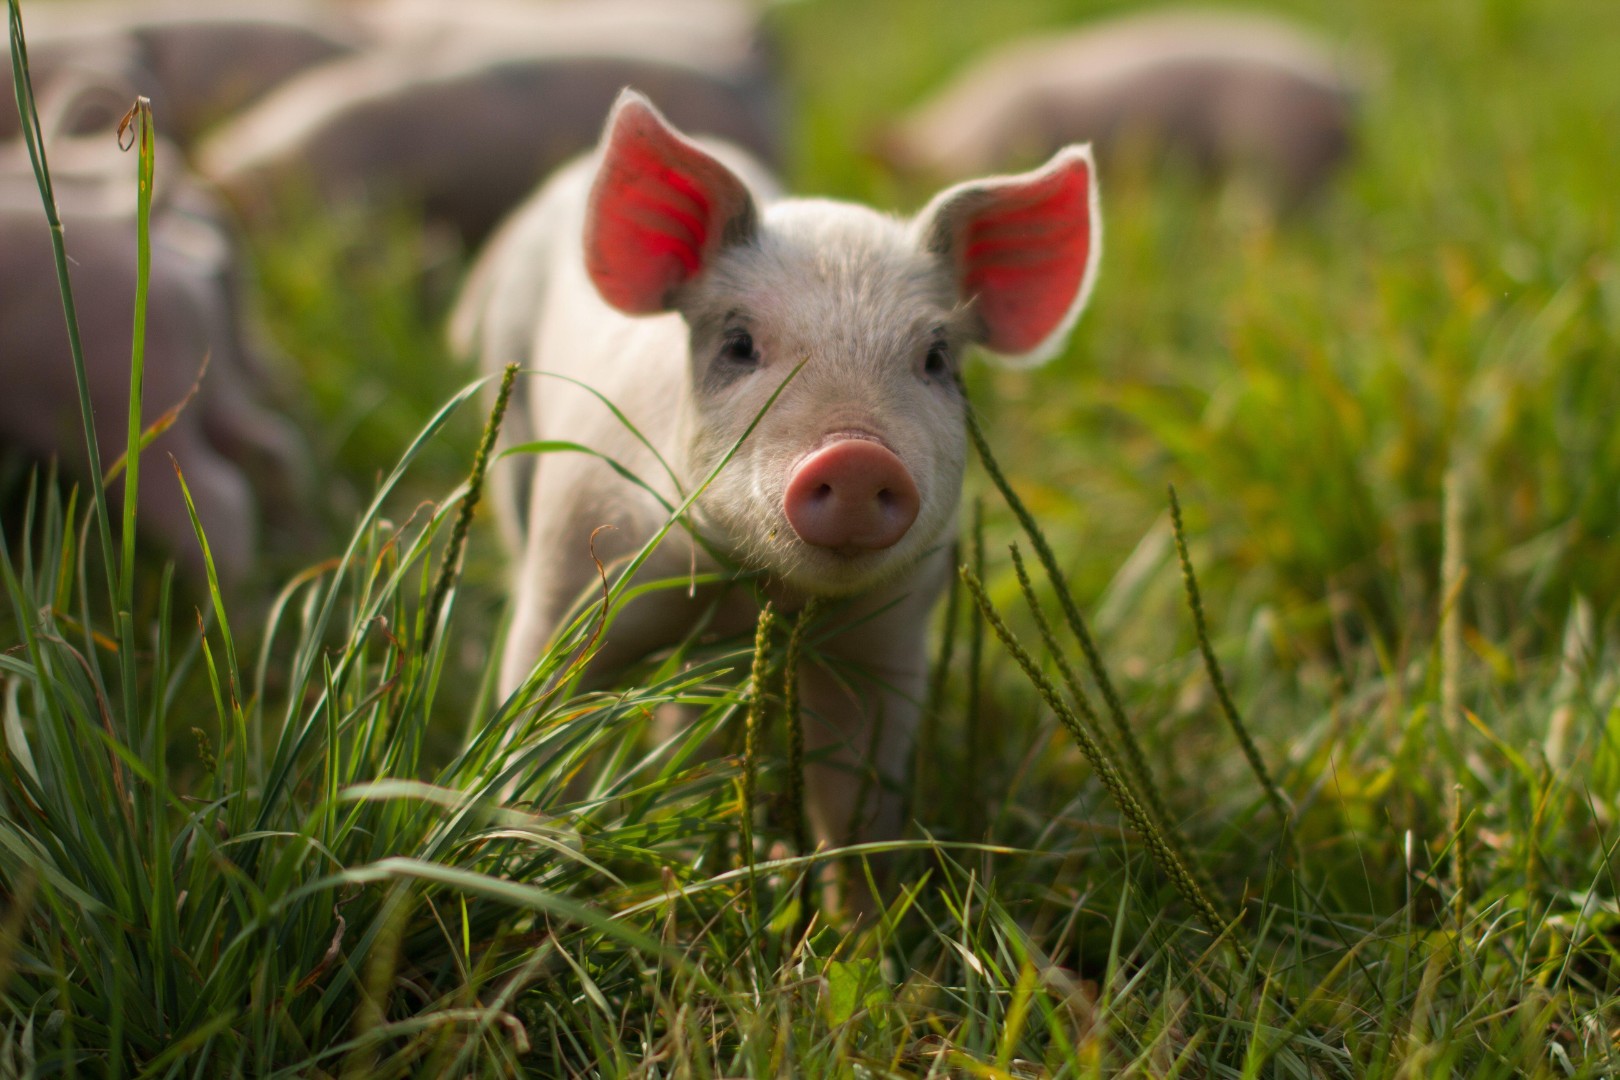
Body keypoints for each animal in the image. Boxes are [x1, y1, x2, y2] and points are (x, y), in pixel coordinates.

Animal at [456, 90, 1101, 913]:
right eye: (738, 345)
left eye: (936, 359)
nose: (856, 456)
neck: (754, 587)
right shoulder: (573, 562)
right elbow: (541, 713)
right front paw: (529, 871)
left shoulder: (889, 633)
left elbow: (856, 800)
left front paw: (857, 933)